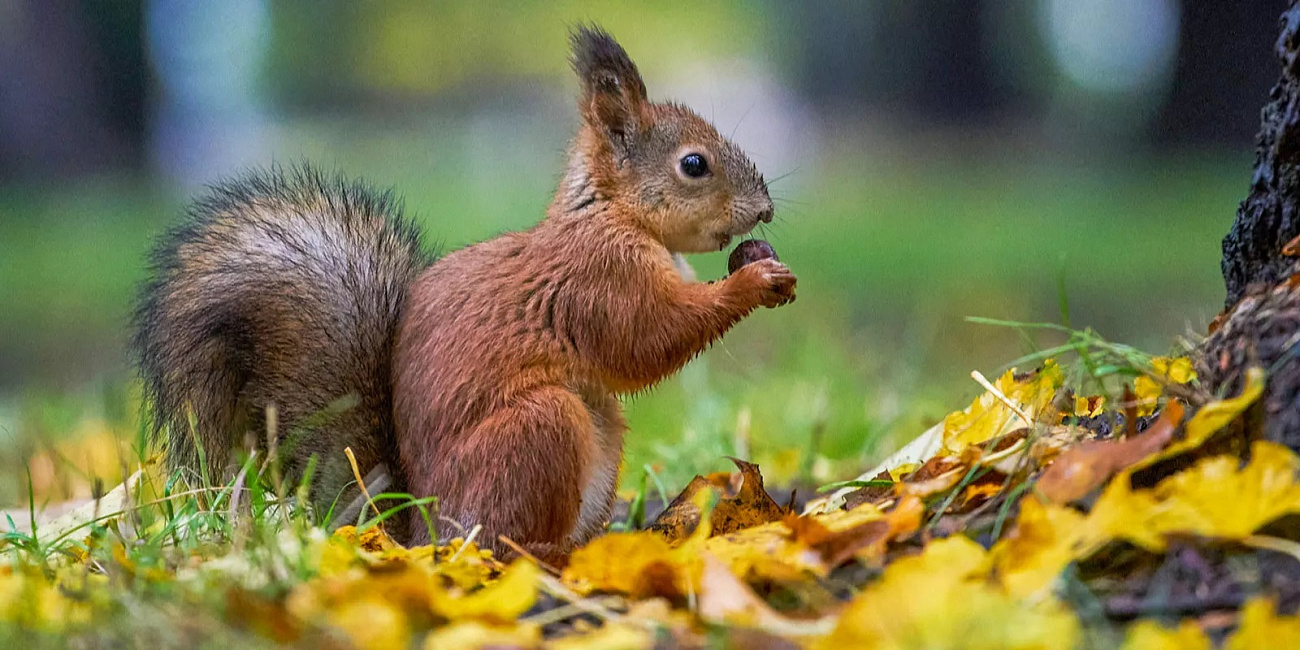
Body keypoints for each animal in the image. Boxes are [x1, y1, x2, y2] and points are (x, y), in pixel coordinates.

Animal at [137, 27, 795, 561]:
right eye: (694, 164)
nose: (765, 208)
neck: (611, 213)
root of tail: (426, 532)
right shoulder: (600, 279)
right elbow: (647, 341)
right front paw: (754, 282)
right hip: (540, 427)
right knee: (499, 542)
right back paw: (546, 555)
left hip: (596, 429)